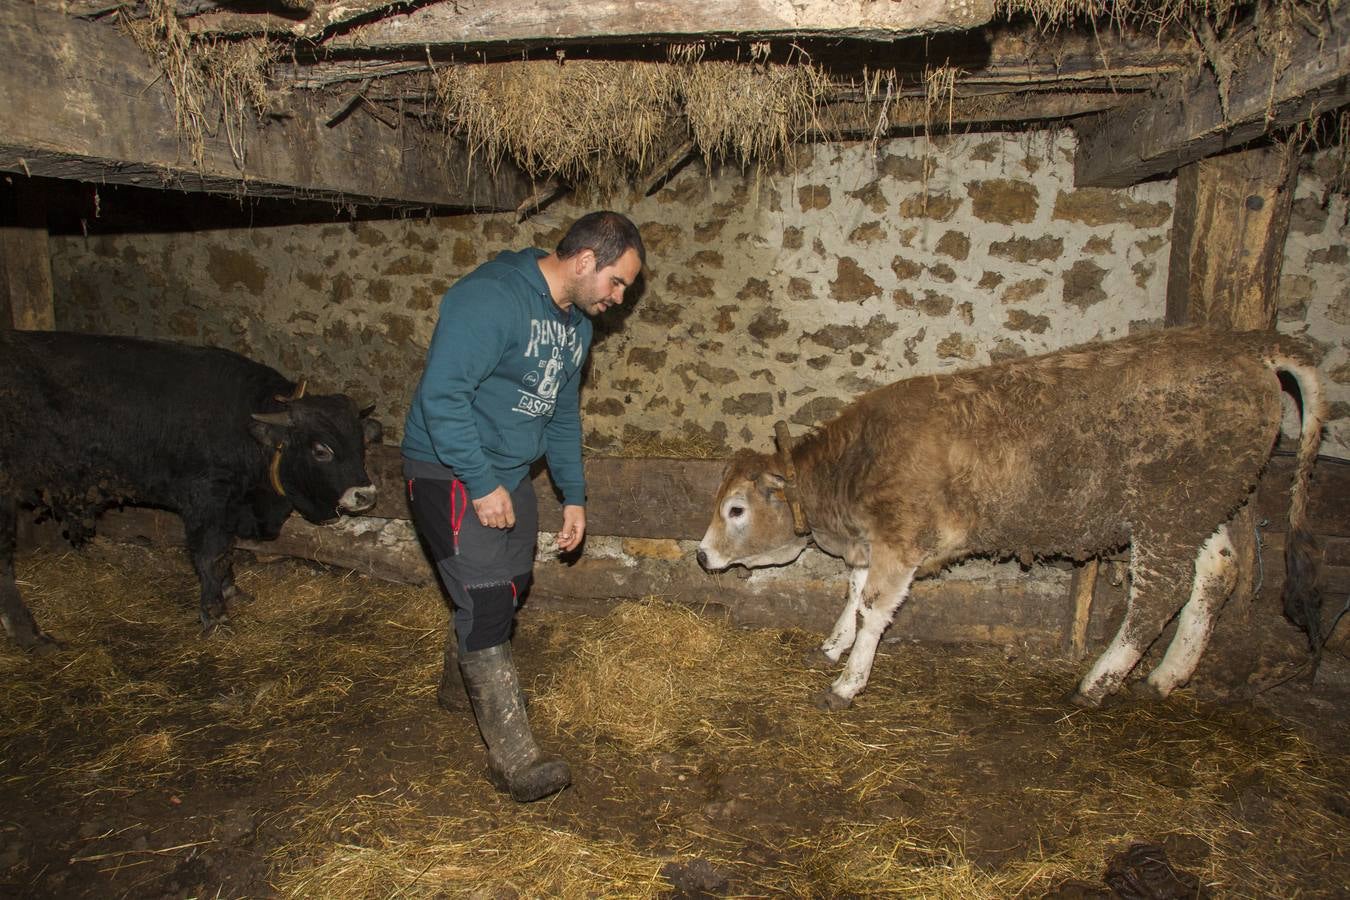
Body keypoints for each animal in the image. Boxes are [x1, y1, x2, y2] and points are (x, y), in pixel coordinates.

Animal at [1, 329, 380, 647]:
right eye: (321, 450)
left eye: (360, 442)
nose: (366, 496)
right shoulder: (206, 499)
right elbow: (210, 554)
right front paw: (215, 615)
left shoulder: (228, 506)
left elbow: (225, 551)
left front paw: (230, 590)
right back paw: (31, 636)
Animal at [696, 329, 1317, 712]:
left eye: (736, 509)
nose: (701, 554)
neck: (857, 464)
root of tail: (1244, 346)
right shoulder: (872, 544)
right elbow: (852, 596)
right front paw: (831, 647)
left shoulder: (900, 540)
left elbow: (874, 609)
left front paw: (848, 681)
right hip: (1202, 505)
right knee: (1217, 571)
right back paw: (1168, 674)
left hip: (1165, 512)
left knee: (1158, 594)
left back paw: (1097, 682)